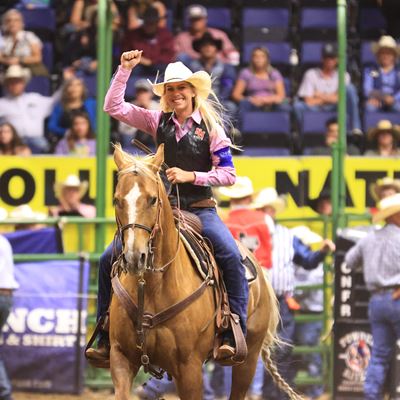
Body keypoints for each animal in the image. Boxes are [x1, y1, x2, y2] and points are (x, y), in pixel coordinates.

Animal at [109, 145, 300, 400]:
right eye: (117, 200)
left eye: (152, 199)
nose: (133, 256)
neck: (152, 287)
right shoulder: (121, 357)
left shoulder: (189, 367)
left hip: (248, 358)